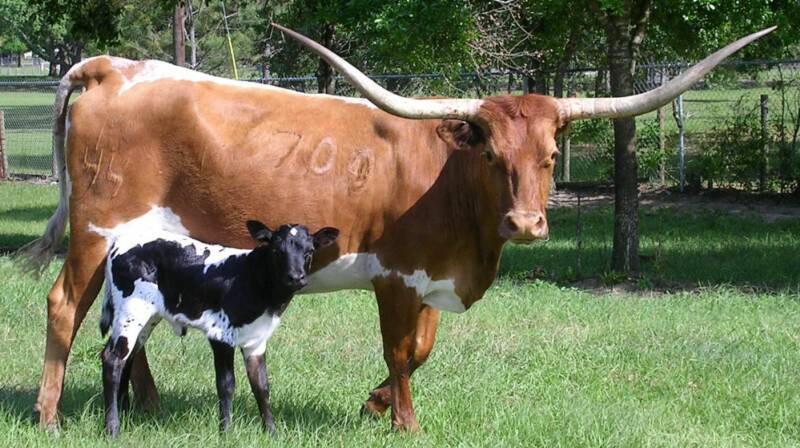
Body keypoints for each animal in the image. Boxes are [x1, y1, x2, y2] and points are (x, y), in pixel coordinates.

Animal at [99, 221, 339, 437]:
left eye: (309, 251)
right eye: (278, 251)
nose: (296, 277)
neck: (254, 280)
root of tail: (120, 242)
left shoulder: (257, 341)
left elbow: (261, 386)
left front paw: (272, 433)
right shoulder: (221, 334)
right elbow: (226, 384)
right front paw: (225, 432)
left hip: (147, 317)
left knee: (129, 357)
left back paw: (124, 413)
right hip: (131, 311)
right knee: (113, 359)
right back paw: (112, 428)